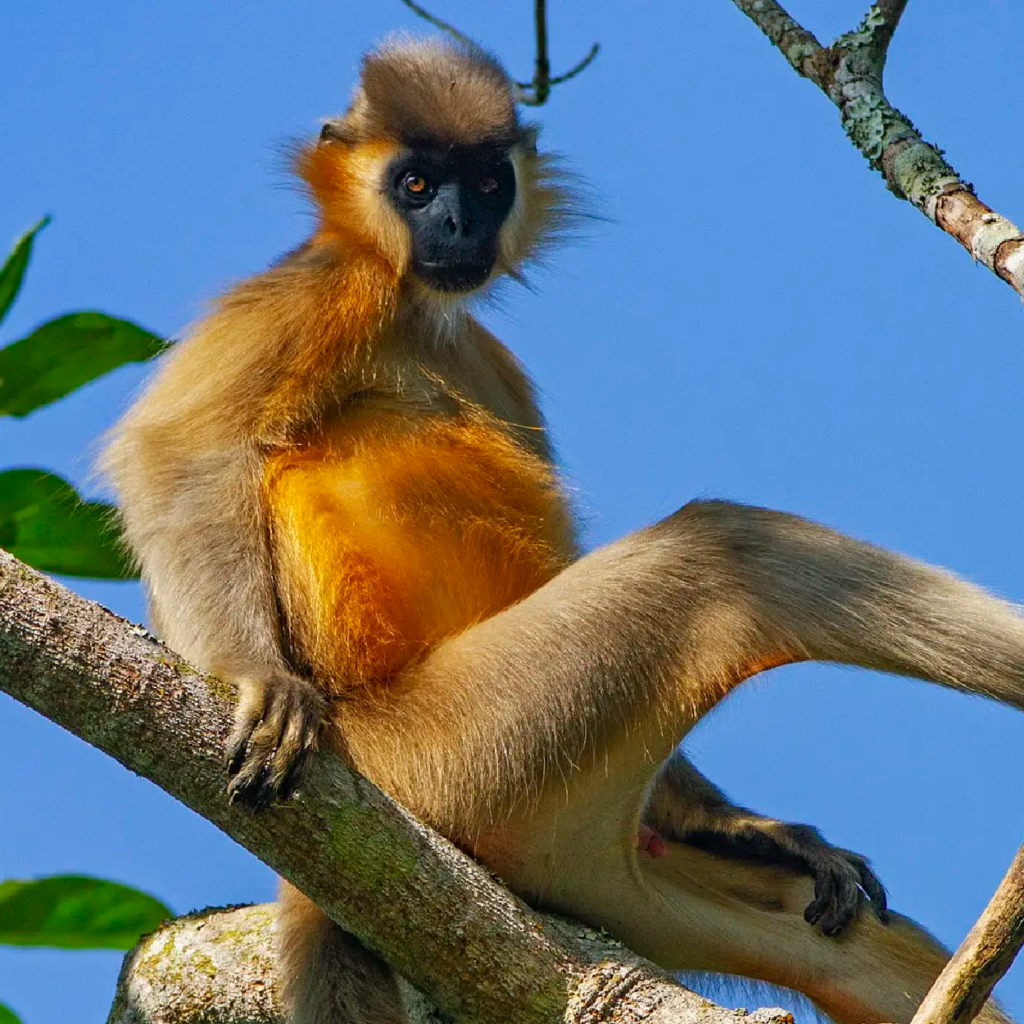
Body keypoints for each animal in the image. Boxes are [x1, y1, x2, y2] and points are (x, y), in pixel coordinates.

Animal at [101, 36, 1024, 1024]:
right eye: (417, 185)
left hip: (595, 863)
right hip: (457, 758)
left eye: (486, 183)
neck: (414, 312)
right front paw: (257, 677)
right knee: (726, 551)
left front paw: (754, 826)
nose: (459, 225)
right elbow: (176, 453)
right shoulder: (317, 288)